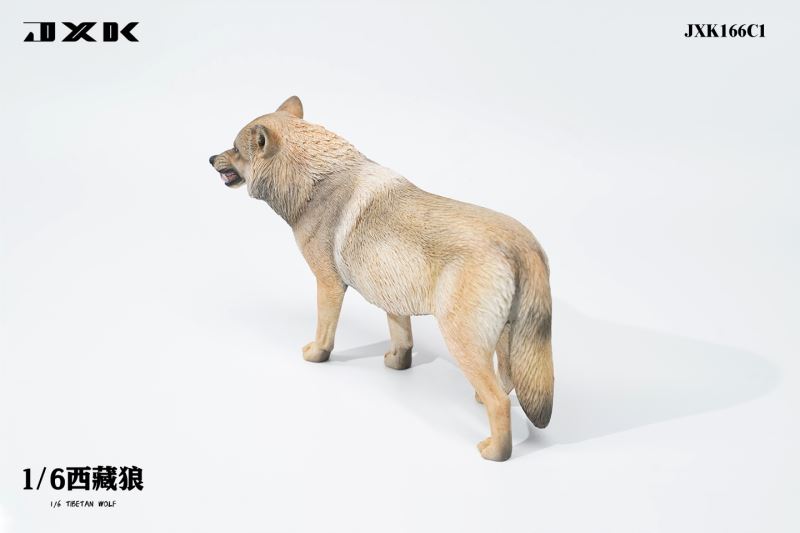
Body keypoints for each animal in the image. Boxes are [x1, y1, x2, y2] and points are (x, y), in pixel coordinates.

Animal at [209, 96, 553, 461]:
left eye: (234, 149)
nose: (209, 158)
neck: (315, 182)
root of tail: (525, 245)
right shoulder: (393, 297)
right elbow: (402, 340)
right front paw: (397, 365)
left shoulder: (329, 285)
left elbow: (324, 332)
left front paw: (317, 355)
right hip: (504, 338)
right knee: (506, 380)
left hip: (463, 341)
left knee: (499, 401)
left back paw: (495, 452)